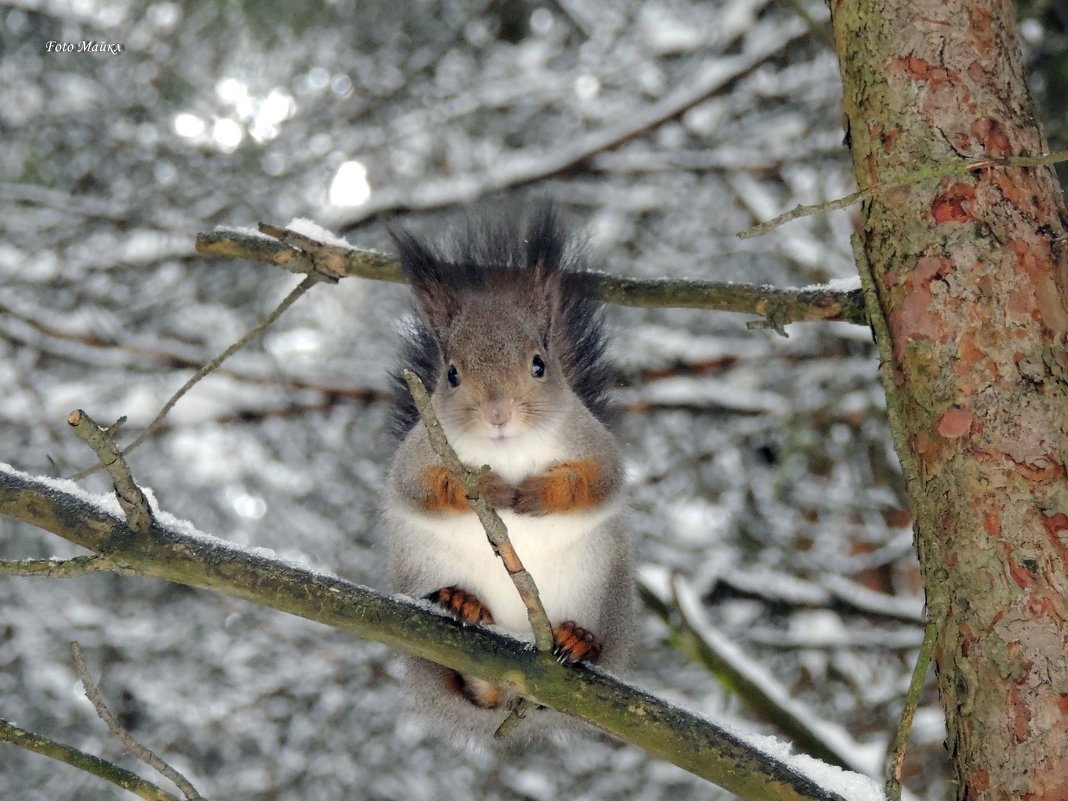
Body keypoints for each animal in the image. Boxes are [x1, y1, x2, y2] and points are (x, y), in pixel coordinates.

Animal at [384, 203, 632, 751]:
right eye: (452, 374)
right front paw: (487, 488)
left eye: (539, 364)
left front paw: (535, 492)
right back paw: (462, 608)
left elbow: (599, 482)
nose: (498, 415)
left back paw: (579, 640)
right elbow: (418, 489)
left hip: (600, 588)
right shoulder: (416, 455)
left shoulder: (593, 445)